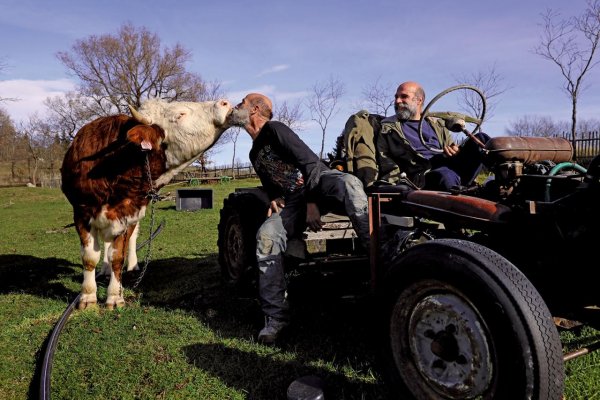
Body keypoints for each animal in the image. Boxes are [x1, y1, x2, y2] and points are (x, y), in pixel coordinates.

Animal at [61, 97, 233, 310]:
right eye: (180, 114)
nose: (224, 103)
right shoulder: (81, 213)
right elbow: (90, 257)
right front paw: (87, 297)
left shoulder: (127, 213)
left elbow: (117, 256)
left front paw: (115, 297)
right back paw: (105, 270)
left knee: (129, 239)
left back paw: (132, 266)